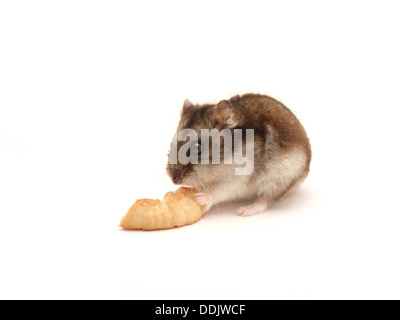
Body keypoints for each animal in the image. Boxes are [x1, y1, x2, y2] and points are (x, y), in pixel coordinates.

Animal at [166, 92, 312, 218]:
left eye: (197, 148)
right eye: (171, 144)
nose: (175, 181)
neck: (223, 162)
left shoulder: (237, 179)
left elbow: (220, 190)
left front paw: (200, 199)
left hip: (280, 180)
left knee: (266, 200)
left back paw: (244, 211)